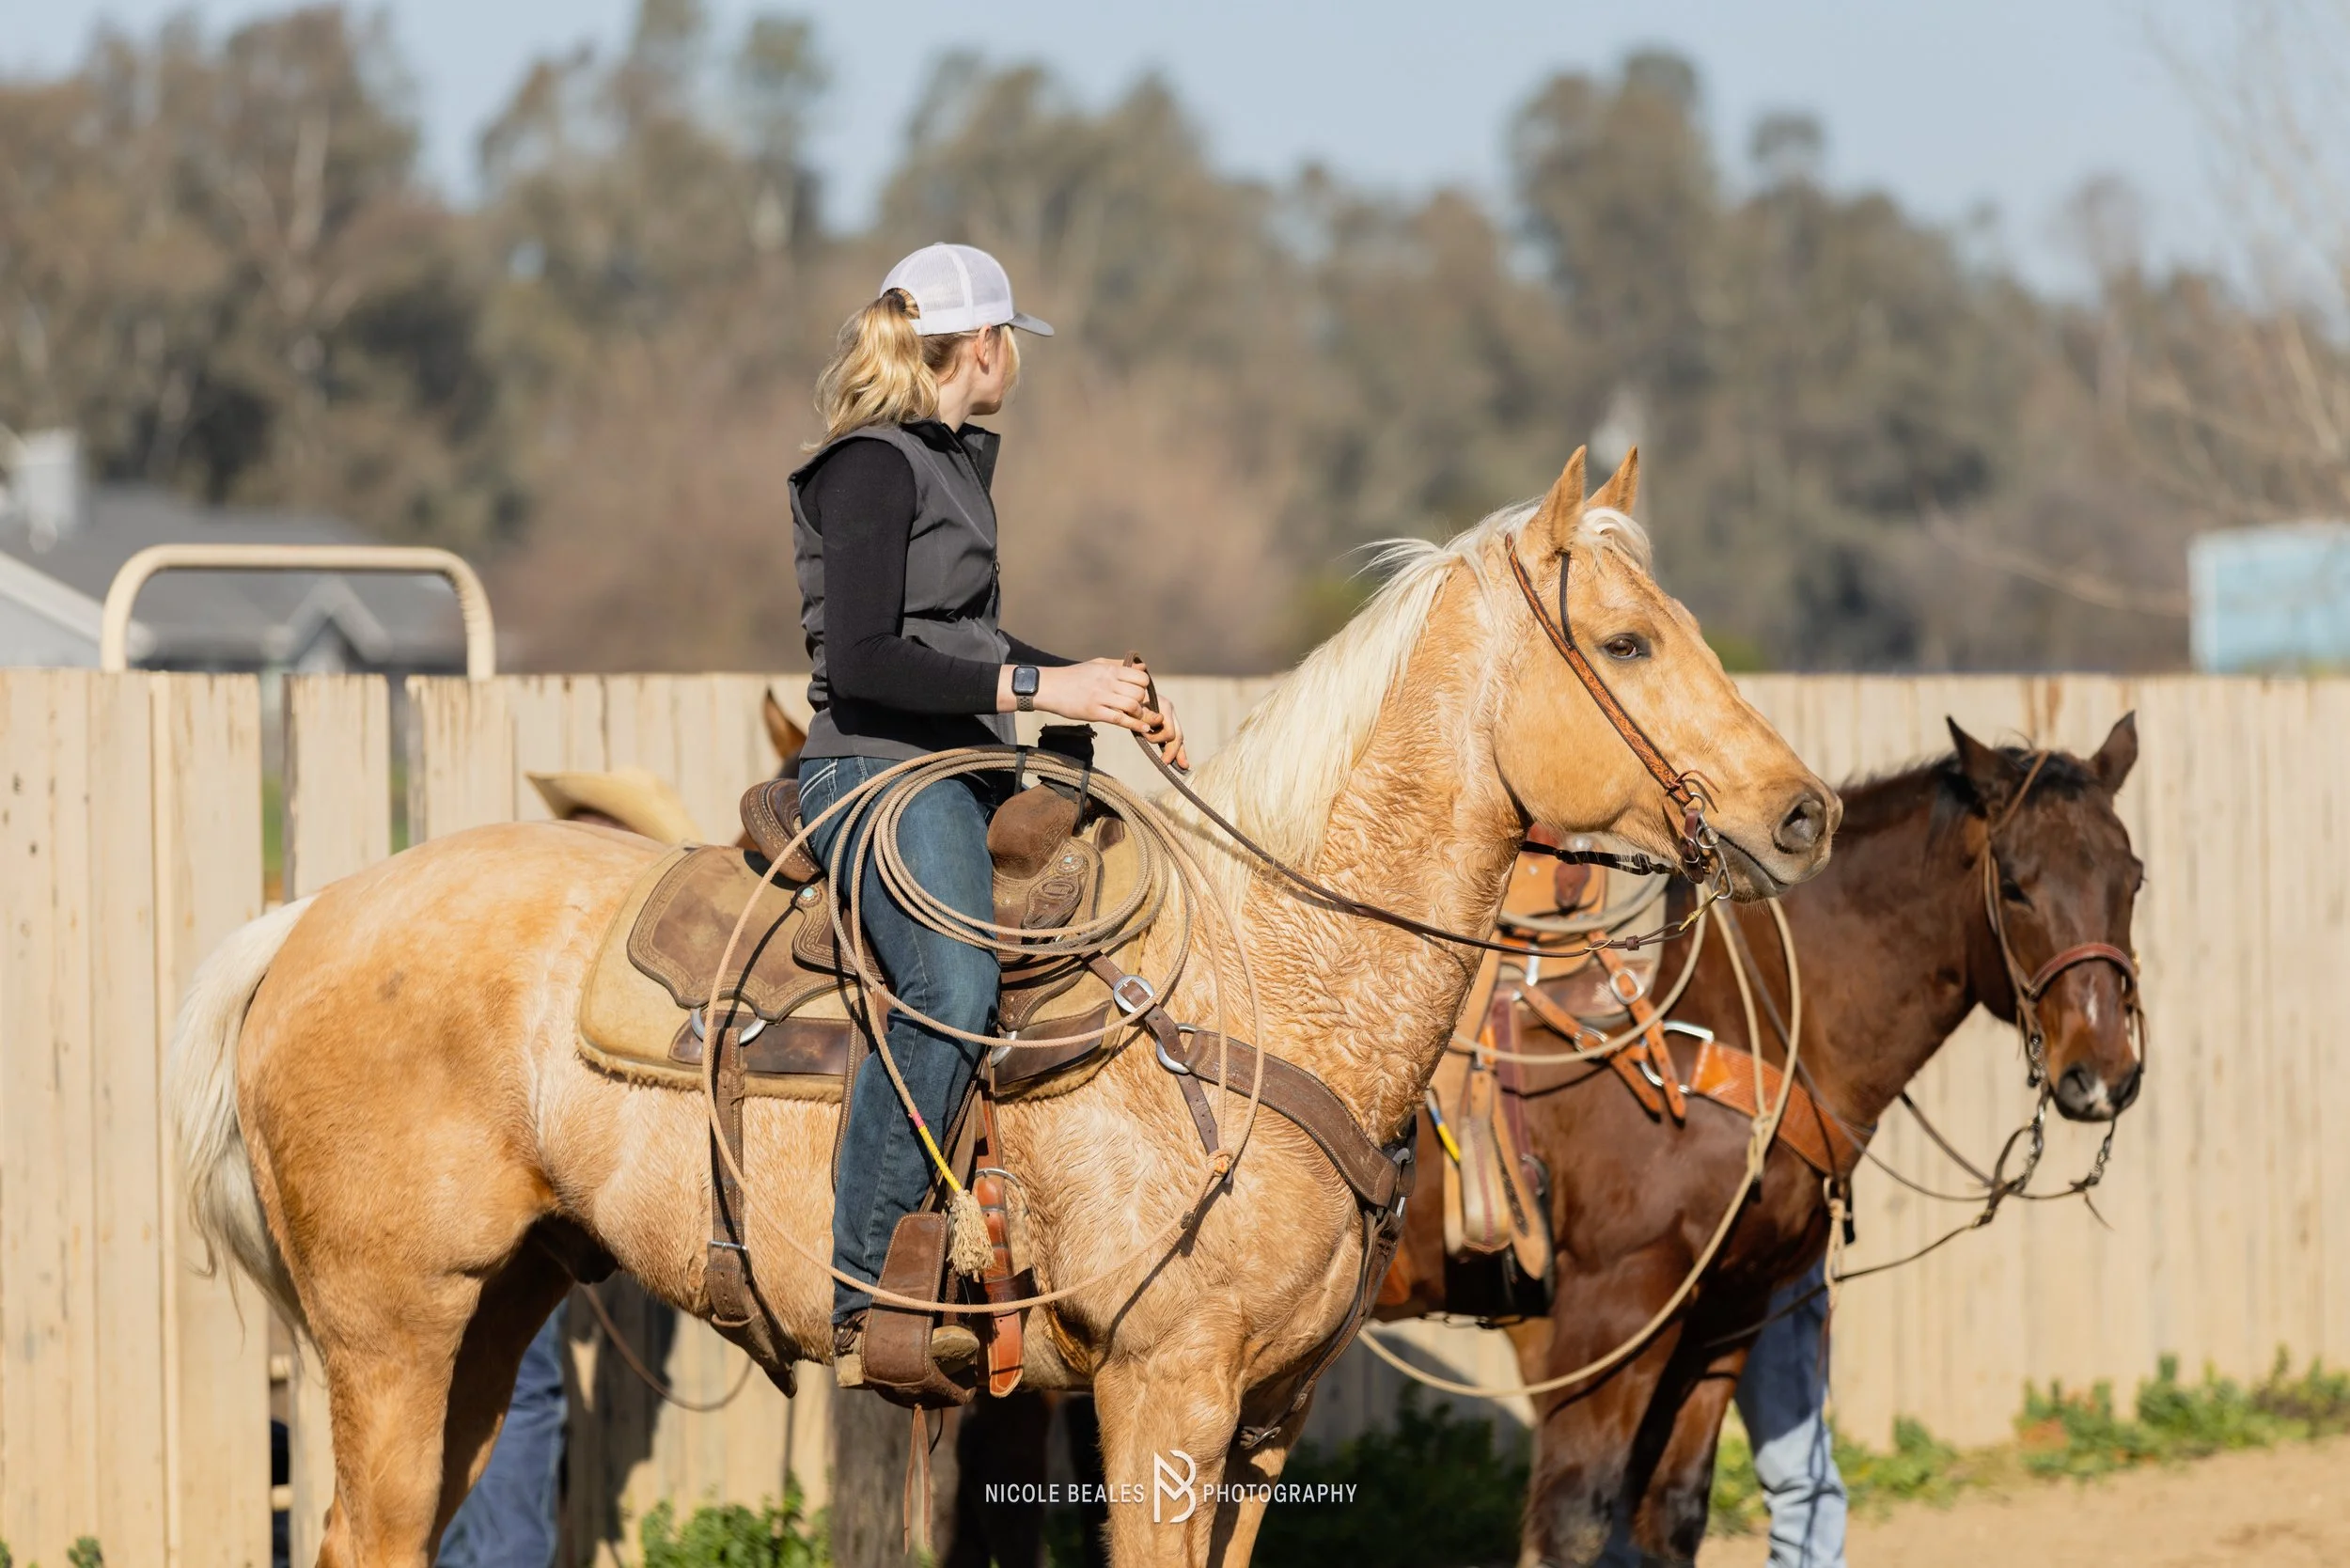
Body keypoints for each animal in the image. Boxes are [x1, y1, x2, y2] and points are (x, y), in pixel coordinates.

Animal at [164, 447, 1838, 1567]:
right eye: (1626, 642)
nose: (1804, 812)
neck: (1273, 982)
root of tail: (310, 918)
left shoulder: (1268, 1417)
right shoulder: (1165, 1398)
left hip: (493, 1308)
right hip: (391, 1328)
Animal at [1375, 714, 2145, 1567]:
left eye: (2133, 879)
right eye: (2013, 885)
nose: (2102, 1074)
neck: (1725, 1020)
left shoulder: (1726, 1313)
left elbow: (1672, 1512)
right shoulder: (1614, 1311)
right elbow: (1574, 1523)